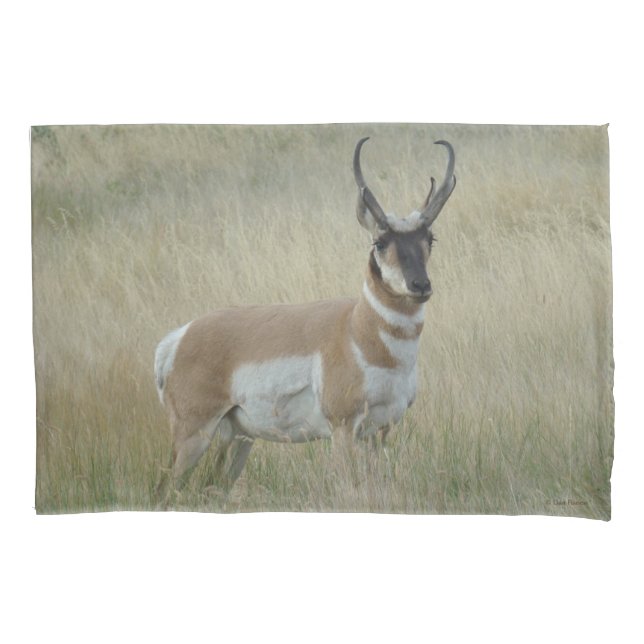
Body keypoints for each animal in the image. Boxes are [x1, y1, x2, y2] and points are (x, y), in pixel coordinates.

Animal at [154, 137, 456, 502]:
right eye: (380, 241)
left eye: (430, 239)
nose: (420, 285)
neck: (357, 330)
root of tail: (179, 337)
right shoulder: (343, 429)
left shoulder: (381, 430)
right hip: (193, 434)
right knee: (164, 490)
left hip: (238, 438)